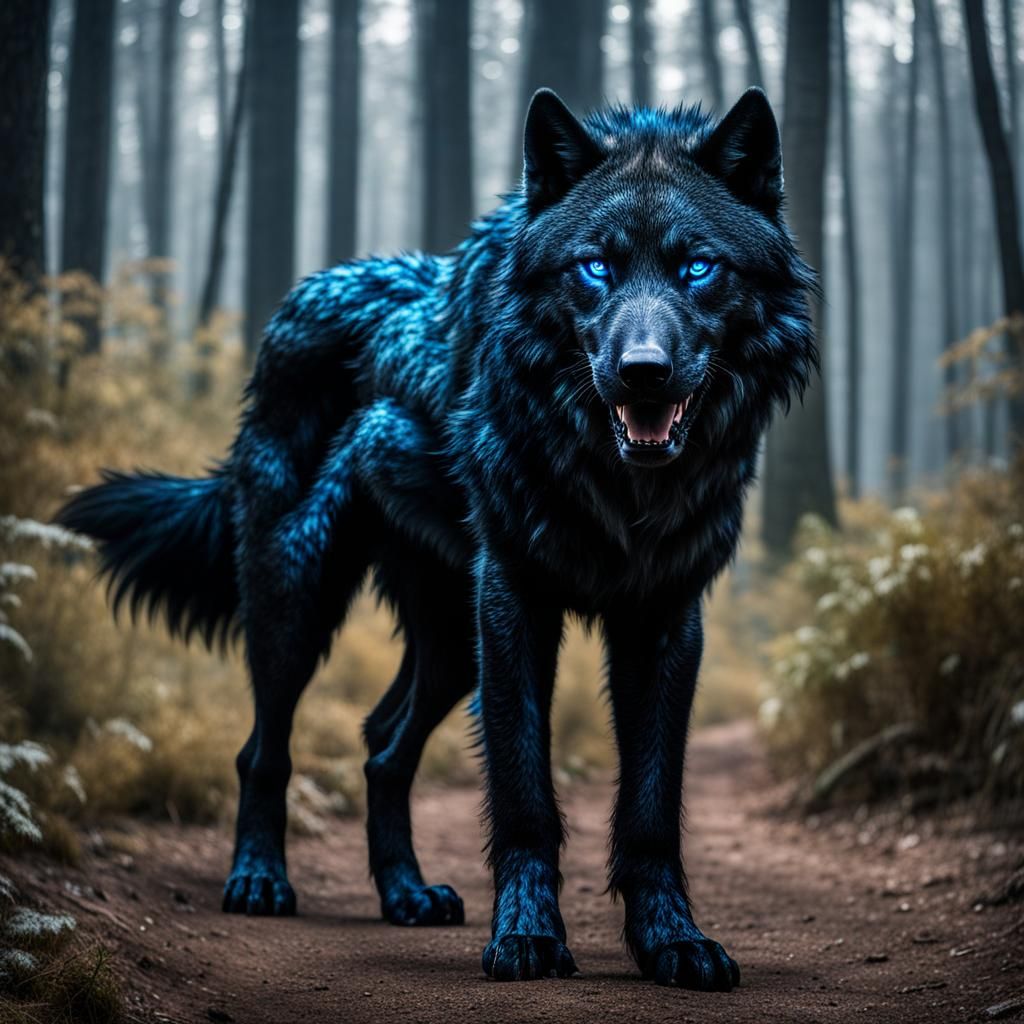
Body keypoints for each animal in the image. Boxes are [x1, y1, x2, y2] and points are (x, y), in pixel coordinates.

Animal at [58, 87, 815, 990]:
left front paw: (672, 941)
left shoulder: (666, 621)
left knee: (382, 746)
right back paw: (259, 881)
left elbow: (651, 809)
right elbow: (524, 794)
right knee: (262, 749)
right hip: (302, 598)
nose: (643, 373)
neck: (617, 483)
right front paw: (526, 938)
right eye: (594, 266)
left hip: (452, 643)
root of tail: (300, 295)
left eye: (698, 266)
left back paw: (407, 895)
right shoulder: (515, 603)